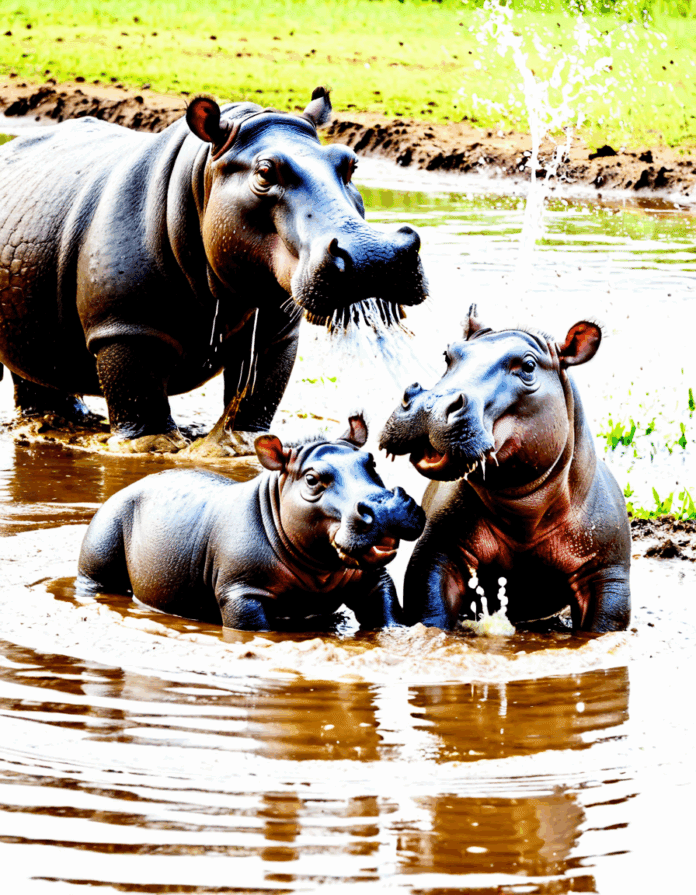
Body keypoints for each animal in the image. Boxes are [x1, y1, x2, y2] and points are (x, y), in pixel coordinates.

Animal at [0, 88, 426, 450]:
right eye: (264, 173)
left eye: (350, 164)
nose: (375, 257)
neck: (204, 175)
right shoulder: (124, 329)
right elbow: (144, 416)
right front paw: (157, 450)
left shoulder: (276, 332)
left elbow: (256, 398)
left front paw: (236, 446)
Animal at [77, 415, 425, 631]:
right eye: (312, 479)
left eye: (372, 462)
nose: (384, 507)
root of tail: (129, 485)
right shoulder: (242, 594)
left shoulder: (374, 579)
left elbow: (387, 613)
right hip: (104, 538)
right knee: (94, 579)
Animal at [379, 306, 631, 633]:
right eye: (449, 354)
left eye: (529, 365)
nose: (430, 405)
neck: (523, 512)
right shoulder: (435, 553)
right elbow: (432, 610)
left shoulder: (607, 575)